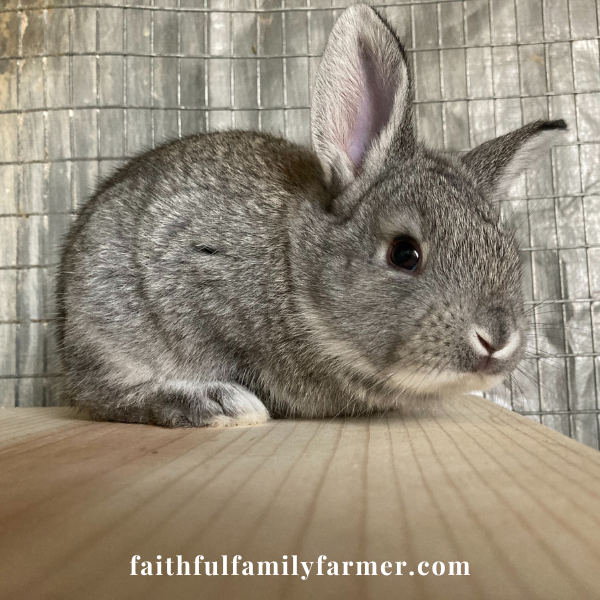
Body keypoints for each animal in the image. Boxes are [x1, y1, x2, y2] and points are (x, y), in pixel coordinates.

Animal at [54, 4, 564, 426]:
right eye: (404, 254)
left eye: (511, 256)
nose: (497, 340)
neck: (294, 269)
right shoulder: (193, 280)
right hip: (101, 322)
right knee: (101, 397)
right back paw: (217, 405)